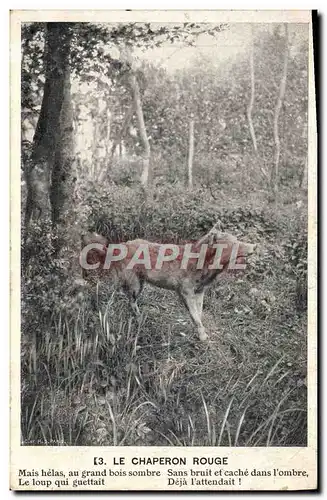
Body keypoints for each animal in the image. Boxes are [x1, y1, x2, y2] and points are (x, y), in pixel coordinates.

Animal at [80, 222, 258, 340]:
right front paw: (202, 337)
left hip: (138, 284)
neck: (201, 262)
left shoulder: (200, 292)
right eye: (235, 243)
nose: (255, 246)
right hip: (132, 285)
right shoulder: (185, 293)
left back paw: (138, 318)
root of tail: (114, 248)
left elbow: (199, 314)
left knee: (129, 302)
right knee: (115, 298)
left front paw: (200, 332)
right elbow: (195, 316)